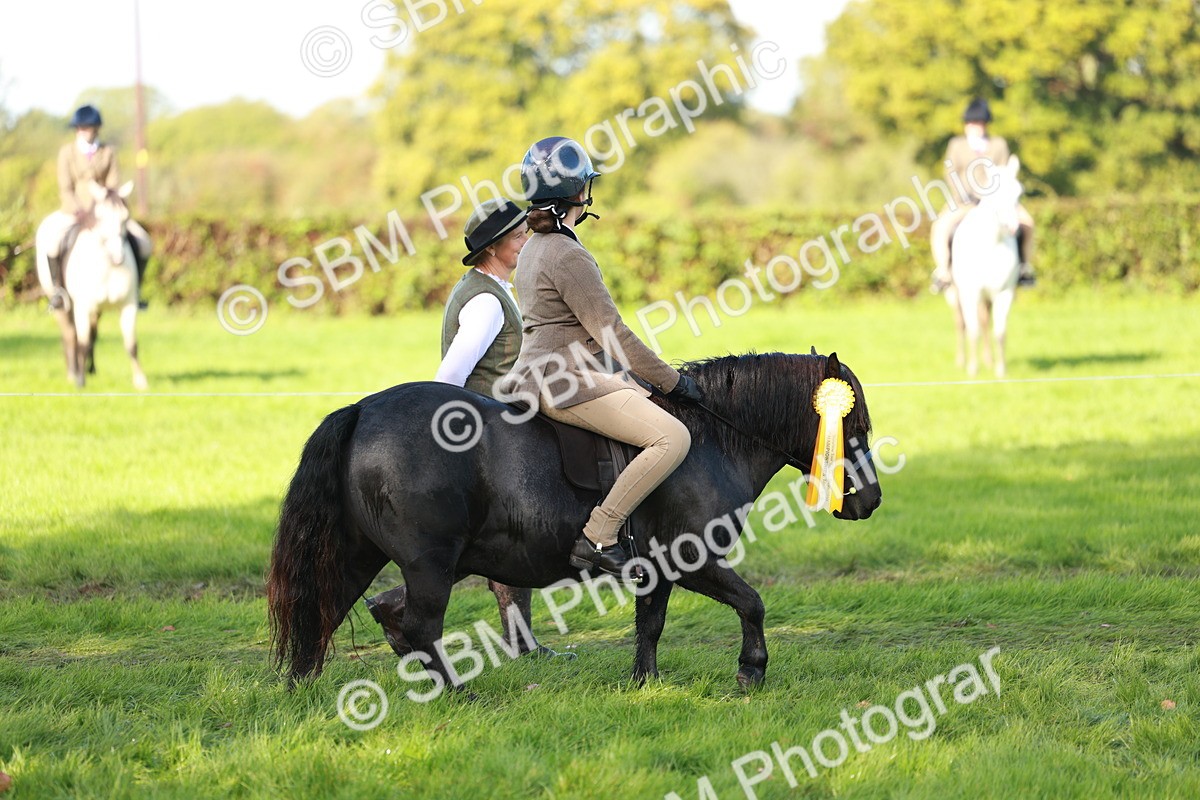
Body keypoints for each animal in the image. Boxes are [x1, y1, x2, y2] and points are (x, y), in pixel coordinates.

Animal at [35, 181, 148, 390]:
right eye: (100, 217)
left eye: (125, 217)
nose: (118, 258)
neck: (109, 266)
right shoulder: (83, 307)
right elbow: (82, 342)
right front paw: (80, 381)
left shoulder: (128, 305)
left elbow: (131, 344)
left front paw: (140, 381)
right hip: (62, 304)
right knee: (70, 335)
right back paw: (73, 373)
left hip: (98, 309)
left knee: (93, 334)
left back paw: (91, 369)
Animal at [267, 351, 882, 693]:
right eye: (853, 425)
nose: (869, 500)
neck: (712, 437)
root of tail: (365, 409)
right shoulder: (694, 560)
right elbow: (752, 603)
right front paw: (751, 670)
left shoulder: (658, 571)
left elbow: (650, 625)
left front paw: (645, 684)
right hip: (430, 563)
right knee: (416, 624)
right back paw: (457, 693)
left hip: (364, 555)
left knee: (340, 610)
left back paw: (303, 691)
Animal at [946, 155, 1024, 378]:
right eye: (994, 193)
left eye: (1019, 192)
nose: (1013, 228)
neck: (992, 244)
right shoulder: (970, 293)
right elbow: (973, 330)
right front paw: (972, 370)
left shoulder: (1004, 293)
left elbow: (1000, 331)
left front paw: (1001, 370)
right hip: (954, 292)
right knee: (961, 323)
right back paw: (962, 361)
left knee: (985, 322)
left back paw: (989, 360)